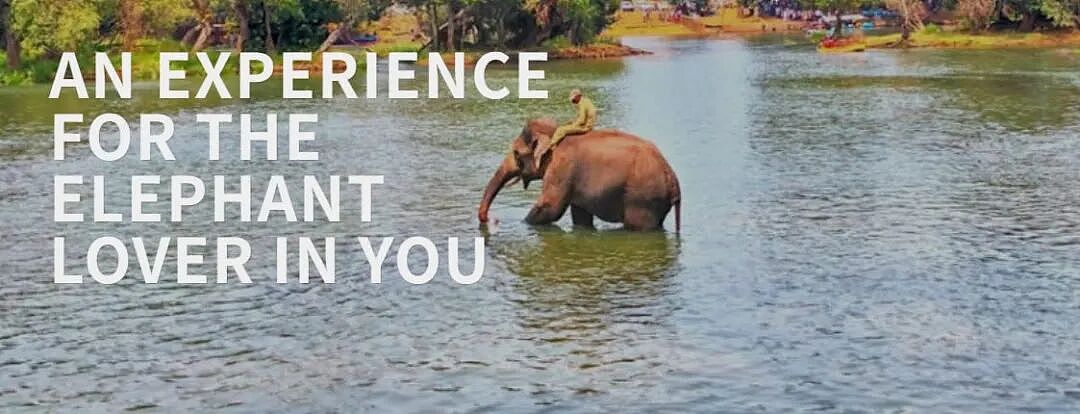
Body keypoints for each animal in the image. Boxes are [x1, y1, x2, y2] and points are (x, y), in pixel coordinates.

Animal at [477, 118, 681, 231]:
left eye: (516, 153)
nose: (492, 219)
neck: (555, 132)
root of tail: (673, 179)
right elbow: (580, 216)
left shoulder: (562, 167)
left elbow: (550, 208)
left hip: (643, 199)